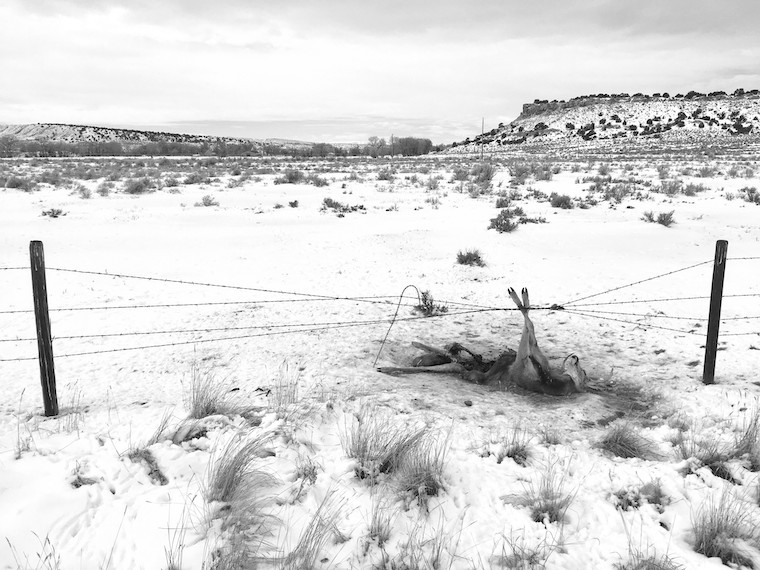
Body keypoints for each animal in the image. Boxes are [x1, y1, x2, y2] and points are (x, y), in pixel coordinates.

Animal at [378, 287, 587, 396]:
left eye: (583, 373)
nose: (575, 357)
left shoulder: (526, 357)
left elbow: (529, 327)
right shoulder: (523, 356)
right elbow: (529, 330)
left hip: (476, 369)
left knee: (455, 362)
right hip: (484, 364)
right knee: (458, 357)